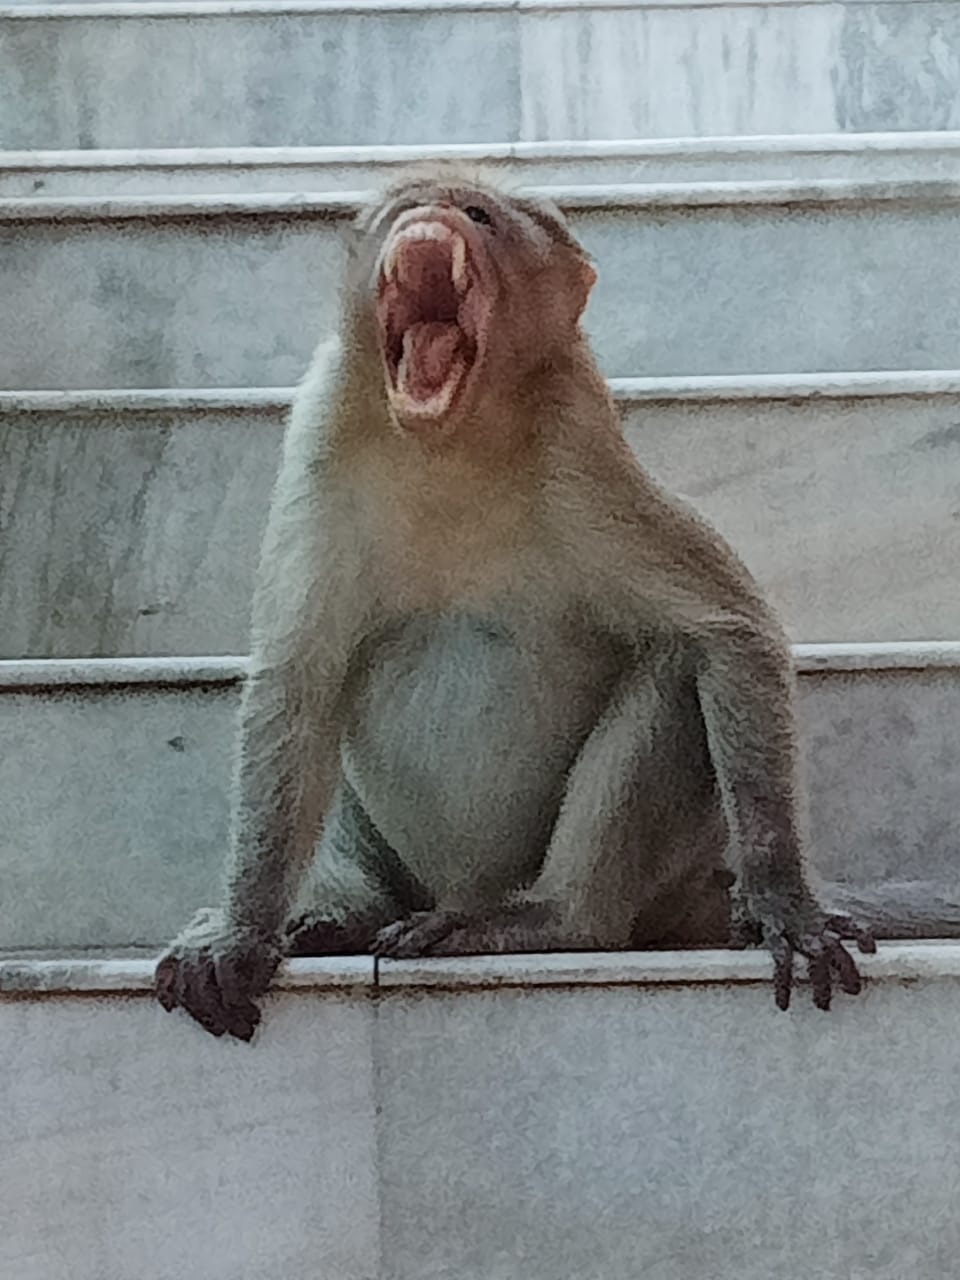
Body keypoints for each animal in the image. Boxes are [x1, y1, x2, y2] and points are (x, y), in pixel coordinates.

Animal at [155, 168, 950, 1043]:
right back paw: (341, 913)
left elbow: (728, 632)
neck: (451, 442)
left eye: (477, 214)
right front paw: (242, 930)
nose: (428, 217)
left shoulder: (583, 455)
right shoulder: (319, 435)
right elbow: (296, 680)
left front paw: (784, 902)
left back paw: (552, 919)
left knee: (676, 671)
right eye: (402, 207)